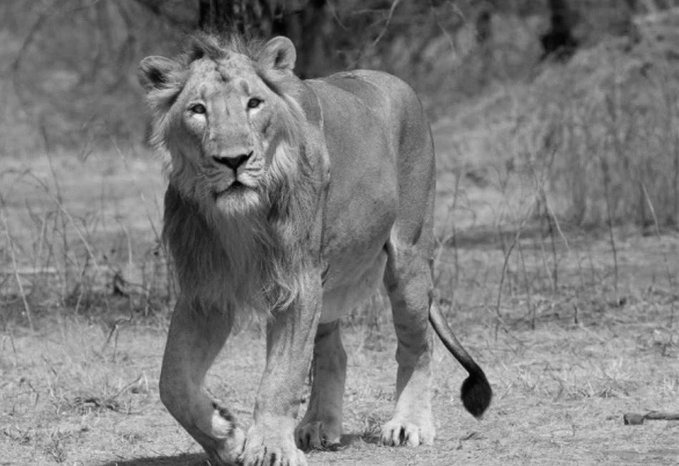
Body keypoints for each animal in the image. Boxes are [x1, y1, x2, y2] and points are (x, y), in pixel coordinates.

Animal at [138, 33, 491, 466]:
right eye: (198, 110)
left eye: (254, 103)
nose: (234, 160)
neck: (239, 217)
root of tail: (395, 81)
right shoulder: (205, 292)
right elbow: (171, 383)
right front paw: (226, 436)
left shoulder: (297, 283)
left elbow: (281, 377)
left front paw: (269, 448)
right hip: (330, 282)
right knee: (332, 352)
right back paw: (318, 425)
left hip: (408, 258)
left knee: (417, 345)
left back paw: (408, 424)